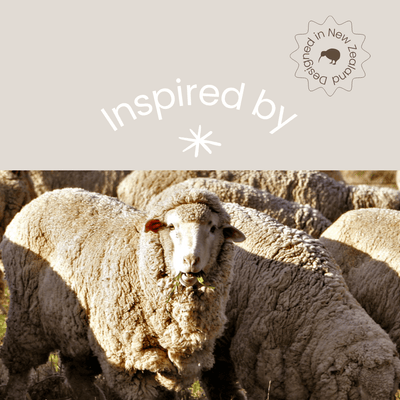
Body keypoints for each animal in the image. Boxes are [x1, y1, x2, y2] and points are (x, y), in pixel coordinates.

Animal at [0, 188, 244, 400]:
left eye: (213, 228)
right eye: (172, 227)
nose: (191, 261)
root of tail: (44, 197)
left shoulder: (181, 362)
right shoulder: (128, 359)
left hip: (72, 327)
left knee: (77, 373)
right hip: (25, 315)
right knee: (19, 367)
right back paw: (14, 393)